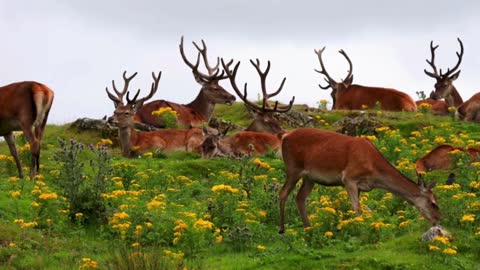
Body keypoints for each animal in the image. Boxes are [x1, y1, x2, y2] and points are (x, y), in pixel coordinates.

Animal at [280, 127, 440, 233]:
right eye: (433, 203)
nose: (438, 219)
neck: (374, 171)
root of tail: (285, 136)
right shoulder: (349, 178)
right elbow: (356, 208)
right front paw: (359, 229)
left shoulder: (361, 186)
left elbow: (359, 207)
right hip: (293, 168)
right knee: (282, 193)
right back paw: (282, 230)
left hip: (309, 177)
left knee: (300, 198)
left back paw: (308, 229)